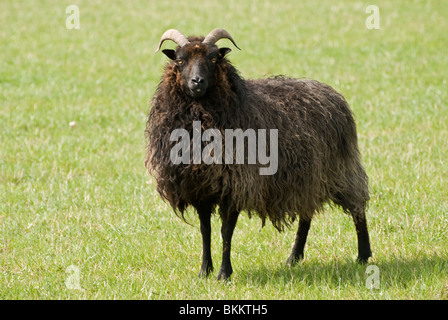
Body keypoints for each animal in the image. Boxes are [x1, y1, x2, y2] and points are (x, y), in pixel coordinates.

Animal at [144, 28, 372, 280]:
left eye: (213, 59)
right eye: (180, 60)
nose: (197, 82)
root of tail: (332, 94)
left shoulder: (236, 184)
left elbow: (226, 232)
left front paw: (224, 274)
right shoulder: (199, 187)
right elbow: (206, 231)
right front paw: (205, 270)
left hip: (340, 168)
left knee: (357, 207)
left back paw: (363, 255)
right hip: (308, 176)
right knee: (306, 214)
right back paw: (294, 258)